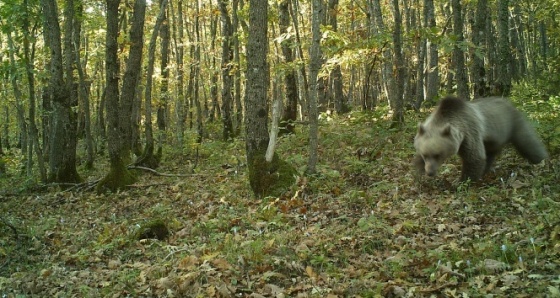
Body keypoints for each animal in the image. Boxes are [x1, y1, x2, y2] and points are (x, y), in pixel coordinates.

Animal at [414, 95, 548, 182]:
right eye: (425, 155)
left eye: (438, 155)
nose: (430, 172)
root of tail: (510, 103)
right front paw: (418, 172)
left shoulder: (469, 133)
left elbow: (474, 157)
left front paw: (462, 181)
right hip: (494, 139)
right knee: (490, 154)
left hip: (513, 124)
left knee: (528, 142)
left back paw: (543, 160)